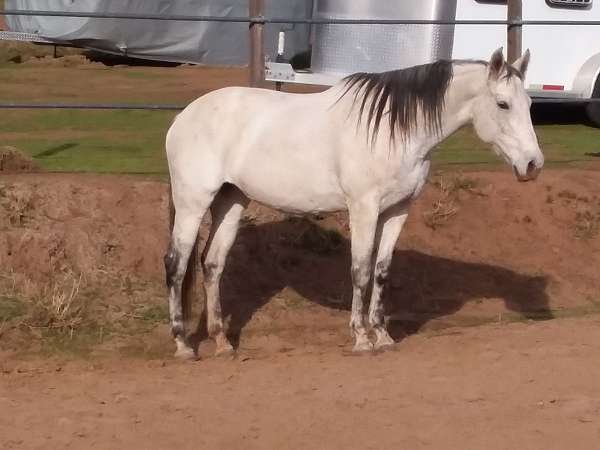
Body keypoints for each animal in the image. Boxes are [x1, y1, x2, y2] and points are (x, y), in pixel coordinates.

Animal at [164, 48, 544, 358]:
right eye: (502, 104)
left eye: (529, 105)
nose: (533, 164)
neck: (395, 129)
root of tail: (183, 118)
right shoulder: (364, 208)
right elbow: (360, 271)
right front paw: (362, 339)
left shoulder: (397, 210)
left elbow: (381, 271)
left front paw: (383, 336)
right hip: (192, 202)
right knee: (176, 264)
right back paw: (182, 345)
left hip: (231, 200)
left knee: (212, 265)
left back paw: (222, 342)